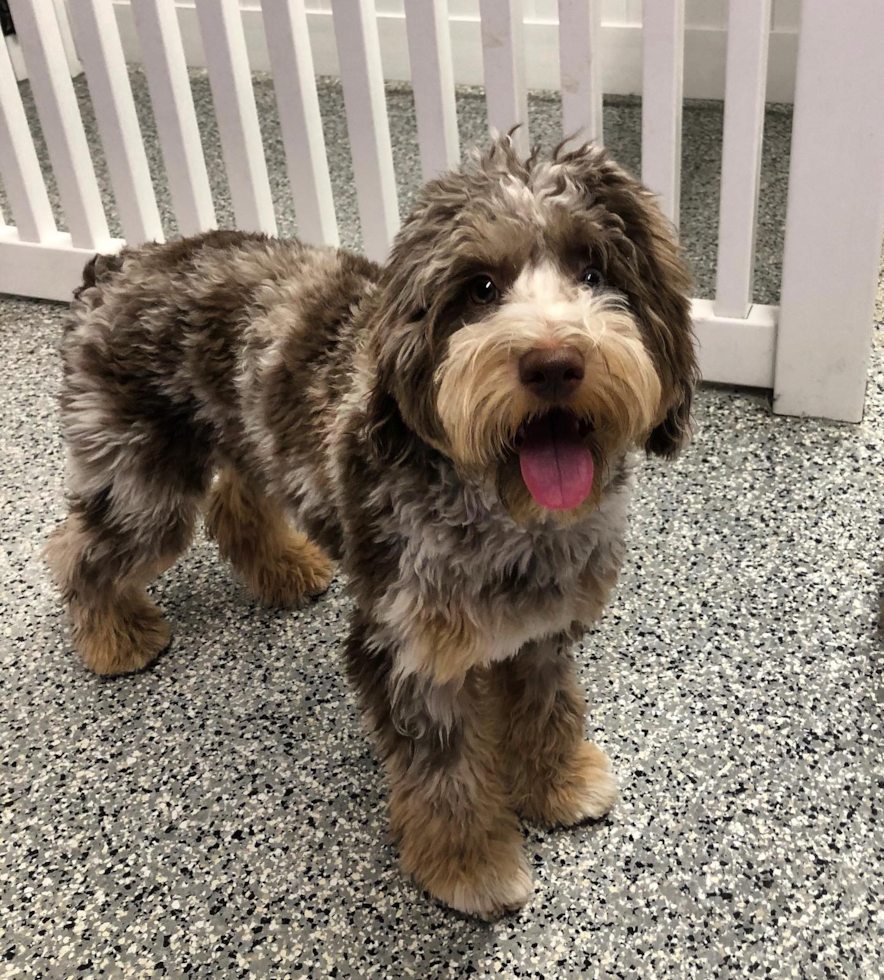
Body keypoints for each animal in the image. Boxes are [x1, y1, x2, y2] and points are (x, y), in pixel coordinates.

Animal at [46, 138, 696, 920]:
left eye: (595, 271)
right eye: (480, 288)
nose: (554, 363)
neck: (508, 515)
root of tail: (117, 265)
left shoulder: (542, 633)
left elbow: (550, 710)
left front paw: (561, 782)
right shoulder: (407, 652)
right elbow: (445, 778)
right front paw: (470, 867)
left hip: (242, 441)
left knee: (234, 501)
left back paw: (286, 569)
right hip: (143, 481)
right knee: (80, 549)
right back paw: (114, 637)